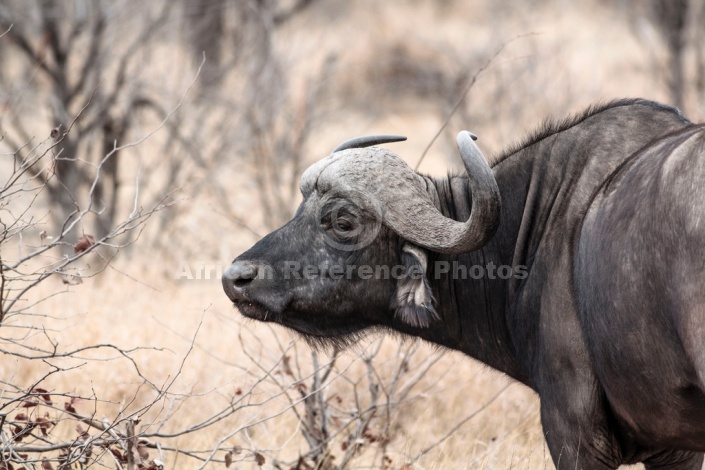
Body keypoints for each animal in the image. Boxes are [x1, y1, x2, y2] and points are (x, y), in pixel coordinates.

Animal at [223, 99, 704, 466]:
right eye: (301, 208)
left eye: (343, 221)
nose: (235, 278)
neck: (537, 228)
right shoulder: (676, 451)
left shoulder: (574, 431)